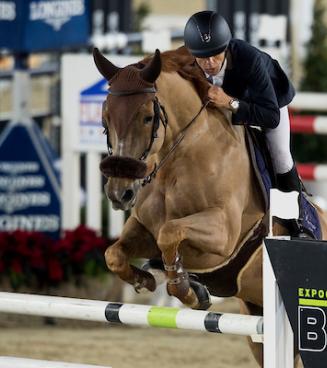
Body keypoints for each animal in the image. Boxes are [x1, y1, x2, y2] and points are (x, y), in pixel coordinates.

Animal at [93, 46, 327, 366]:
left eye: (147, 117)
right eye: (105, 118)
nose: (120, 193)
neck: (177, 162)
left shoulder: (222, 233)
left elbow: (170, 233)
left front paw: (187, 290)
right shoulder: (142, 228)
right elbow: (114, 254)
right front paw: (146, 280)